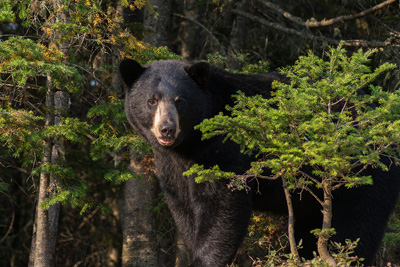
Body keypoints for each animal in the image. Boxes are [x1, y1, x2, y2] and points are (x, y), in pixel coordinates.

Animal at [119, 59, 400, 266]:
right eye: (151, 100)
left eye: (180, 101)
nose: (166, 129)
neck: (189, 145)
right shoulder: (172, 166)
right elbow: (183, 207)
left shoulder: (223, 149)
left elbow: (221, 207)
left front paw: (204, 259)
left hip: (362, 177)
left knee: (356, 227)